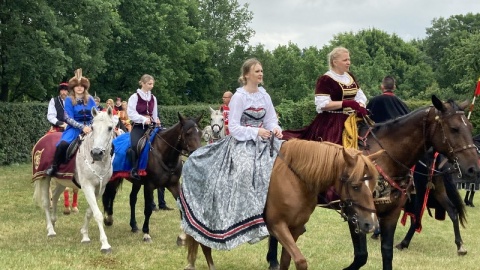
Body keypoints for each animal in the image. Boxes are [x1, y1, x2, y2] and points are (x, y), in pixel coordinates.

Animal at [33, 107, 115, 253]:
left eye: (110, 128)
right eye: (92, 127)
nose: (96, 153)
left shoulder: (100, 189)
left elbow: (89, 212)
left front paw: (85, 236)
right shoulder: (87, 187)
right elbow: (97, 214)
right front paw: (105, 244)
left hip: (62, 180)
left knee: (55, 195)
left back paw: (53, 221)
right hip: (44, 178)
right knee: (46, 202)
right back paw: (50, 230)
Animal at [102, 113, 202, 242]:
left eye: (200, 133)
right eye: (188, 133)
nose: (198, 153)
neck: (164, 154)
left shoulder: (174, 185)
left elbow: (182, 206)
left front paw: (184, 234)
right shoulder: (149, 186)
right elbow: (148, 210)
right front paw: (146, 233)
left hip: (136, 182)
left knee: (132, 199)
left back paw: (133, 226)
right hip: (113, 179)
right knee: (110, 195)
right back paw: (108, 219)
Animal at [182, 139, 384, 270]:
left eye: (374, 185)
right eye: (355, 186)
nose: (371, 224)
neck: (296, 180)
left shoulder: (295, 228)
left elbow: (287, 260)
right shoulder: (277, 226)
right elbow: (300, 261)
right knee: (202, 242)